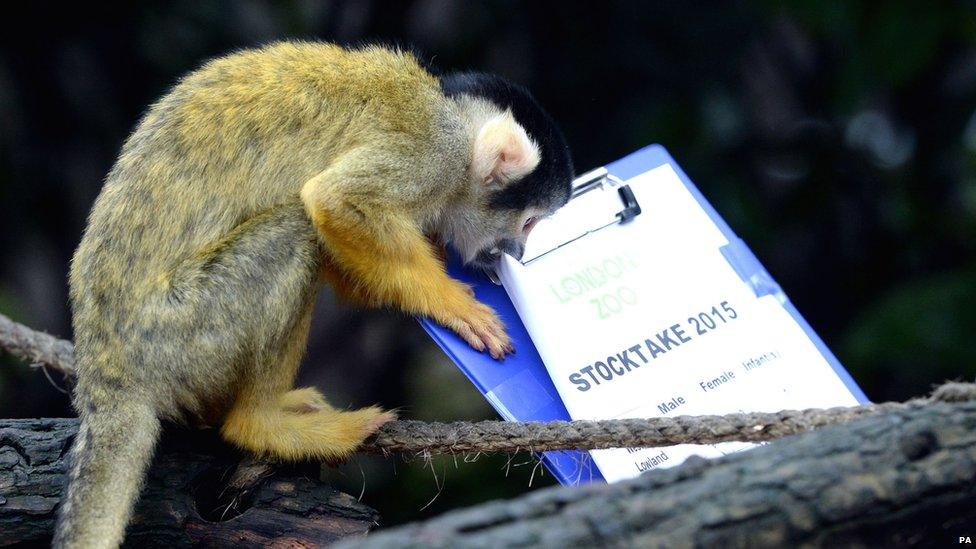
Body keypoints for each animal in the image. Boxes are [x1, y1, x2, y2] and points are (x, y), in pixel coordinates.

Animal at [51, 40, 572, 544]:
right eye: (529, 222)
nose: (517, 253)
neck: (451, 116)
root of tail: (106, 378)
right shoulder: (432, 152)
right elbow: (336, 201)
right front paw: (454, 304)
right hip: (179, 335)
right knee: (295, 231)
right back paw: (260, 423)